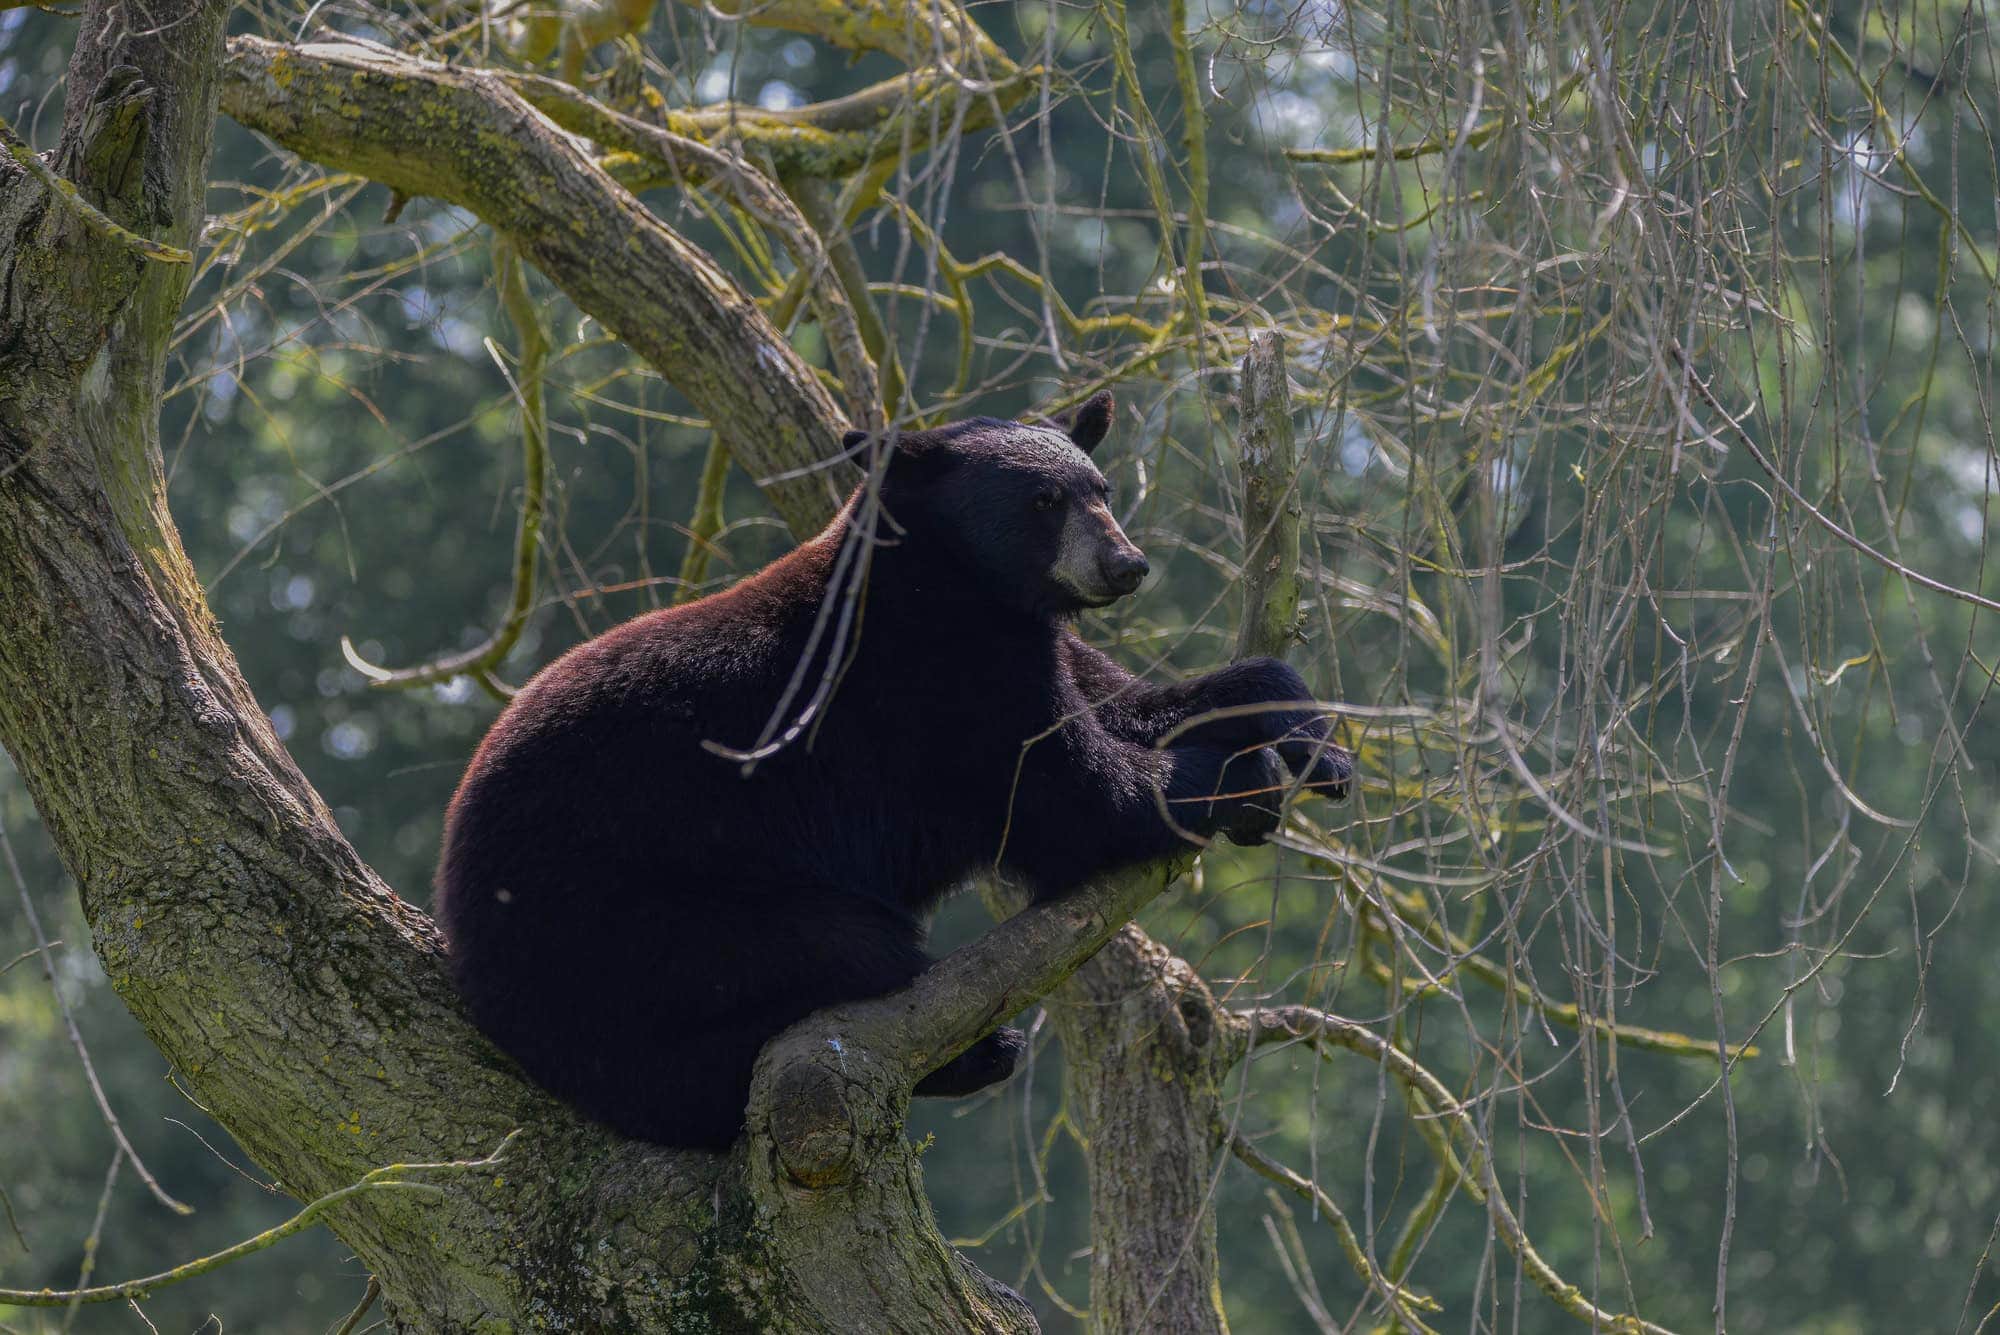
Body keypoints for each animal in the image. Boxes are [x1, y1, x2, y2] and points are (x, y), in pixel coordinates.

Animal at [433, 392, 1350, 1150]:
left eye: (1103, 488)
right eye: (1042, 501)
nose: (1124, 564)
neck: (950, 582)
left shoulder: (1025, 645)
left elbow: (1134, 702)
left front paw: (1311, 737)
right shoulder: (929, 686)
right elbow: (1069, 796)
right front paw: (1240, 781)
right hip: (636, 919)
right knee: (823, 960)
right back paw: (970, 1049)